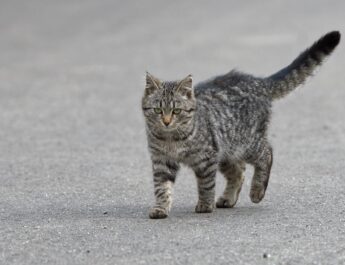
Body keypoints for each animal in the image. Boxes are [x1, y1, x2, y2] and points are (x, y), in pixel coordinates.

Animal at [141, 31, 340, 218]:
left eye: (176, 111)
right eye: (158, 110)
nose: (166, 122)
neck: (170, 138)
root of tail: (259, 82)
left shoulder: (206, 158)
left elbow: (206, 184)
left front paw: (205, 204)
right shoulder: (161, 161)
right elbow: (161, 188)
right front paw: (160, 208)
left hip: (247, 144)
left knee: (267, 153)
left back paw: (257, 191)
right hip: (227, 150)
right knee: (239, 171)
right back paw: (228, 198)